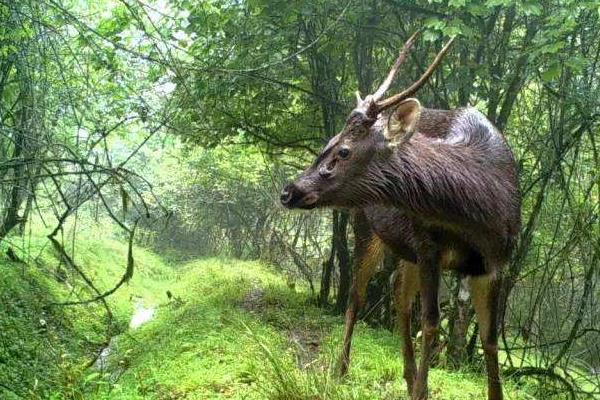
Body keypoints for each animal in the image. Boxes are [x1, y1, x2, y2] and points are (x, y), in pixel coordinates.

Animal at [282, 32, 520, 400]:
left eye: (343, 151)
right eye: (327, 143)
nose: (289, 190)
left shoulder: (495, 262)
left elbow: (489, 338)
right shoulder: (429, 246)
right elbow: (432, 321)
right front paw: (423, 390)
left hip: (405, 248)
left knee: (397, 292)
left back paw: (406, 377)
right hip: (367, 228)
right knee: (357, 294)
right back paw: (340, 370)